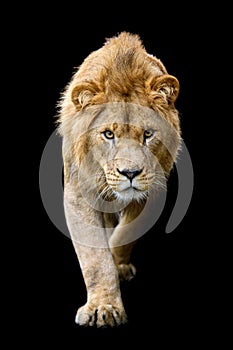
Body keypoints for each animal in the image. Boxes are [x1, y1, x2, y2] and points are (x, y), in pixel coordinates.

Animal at [56, 31, 182, 326]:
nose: (130, 173)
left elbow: (127, 232)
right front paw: (104, 307)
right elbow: (95, 258)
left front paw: (117, 265)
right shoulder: (79, 190)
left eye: (148, 134)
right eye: (108, 134)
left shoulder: (154, 188)